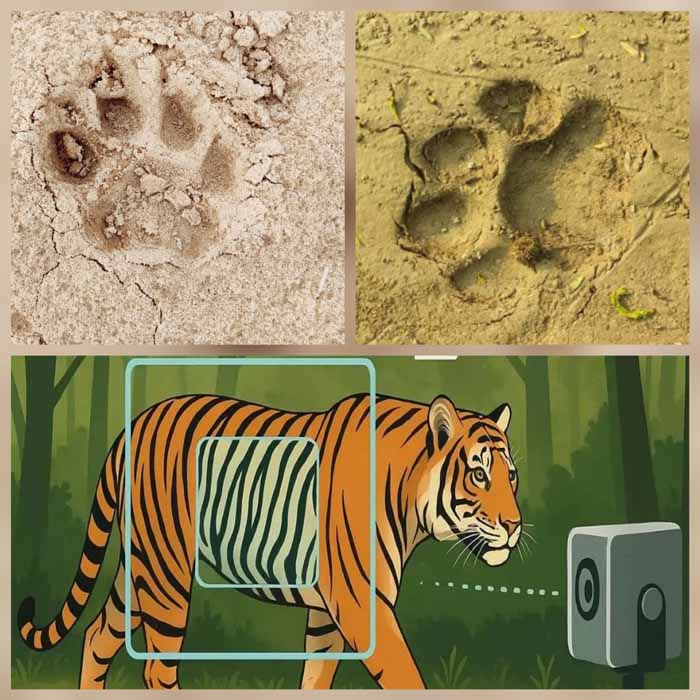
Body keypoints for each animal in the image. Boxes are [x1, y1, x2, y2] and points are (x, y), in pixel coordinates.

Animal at [17, 392, 522, 690]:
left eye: (511, 476)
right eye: (479, 475)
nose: (516, 525)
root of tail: (130, 427)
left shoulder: (329, 613)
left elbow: (317, 678)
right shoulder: (363, 605)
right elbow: (405, 678)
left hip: (139, 568)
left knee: (98, 635)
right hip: (166, 575)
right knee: (156, 667)